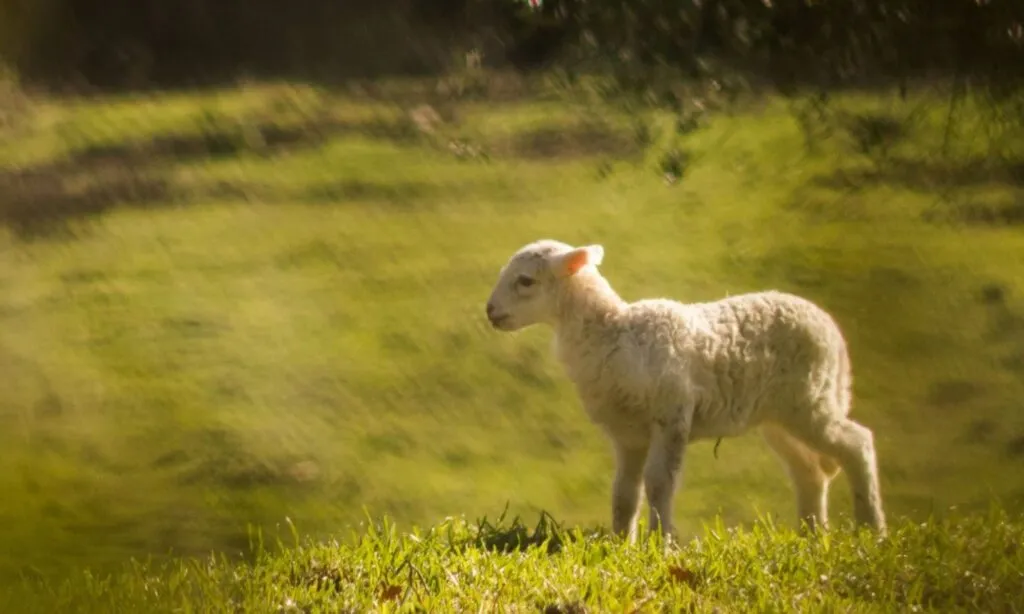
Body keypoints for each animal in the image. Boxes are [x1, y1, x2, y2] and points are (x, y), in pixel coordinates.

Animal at [484, 239, 886, 542]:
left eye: (525, 281)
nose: (490, 312)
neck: (612, 332)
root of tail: (831, 330)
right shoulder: (627, 433)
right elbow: (624, 493)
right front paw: (621, 544)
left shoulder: (672, 414)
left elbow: (659, 483)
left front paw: (660, 545)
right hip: (780, 415)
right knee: (809, 471)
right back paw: (811, 536)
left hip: (810, 399)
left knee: (857, 443)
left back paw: (871, 529)